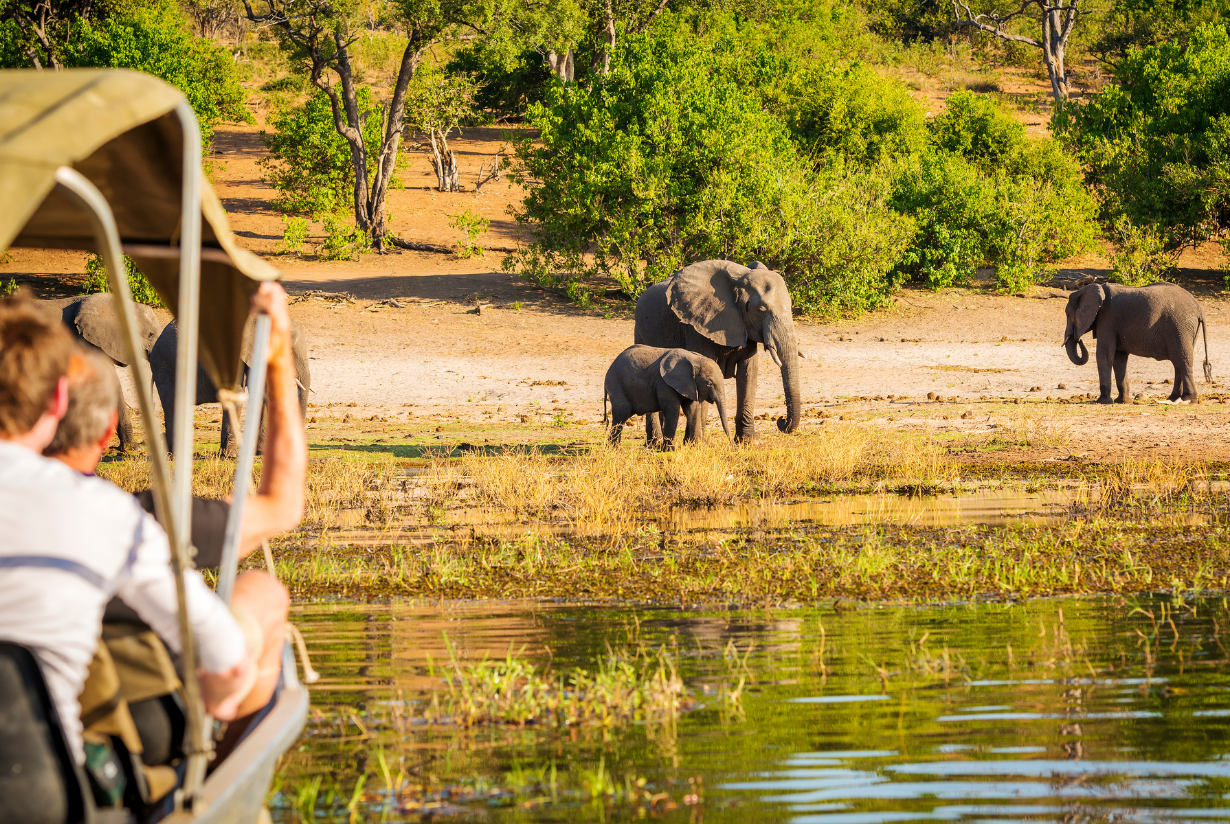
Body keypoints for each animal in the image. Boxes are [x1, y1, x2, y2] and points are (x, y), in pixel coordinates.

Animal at [634, 259, 806, 442]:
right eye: (761, 309)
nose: (781, 421)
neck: (739, 278)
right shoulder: (696, 326)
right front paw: (697, 443)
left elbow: (749, 371)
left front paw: (749, 442)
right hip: (640, 332)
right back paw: (656, 443)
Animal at [1062, 284, 1215, 405]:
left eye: (1068, 314)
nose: (1078, 339)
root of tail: (1199, 308)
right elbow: (1119, 359)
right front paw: (1122, 402)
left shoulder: (1106, 320)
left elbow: (1104, 354)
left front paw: (1102, 402)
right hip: (1186, 330)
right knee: (1178, 362)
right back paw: (1173, 399)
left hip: (1180, 327)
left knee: (1182, 361)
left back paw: (1188, 400)